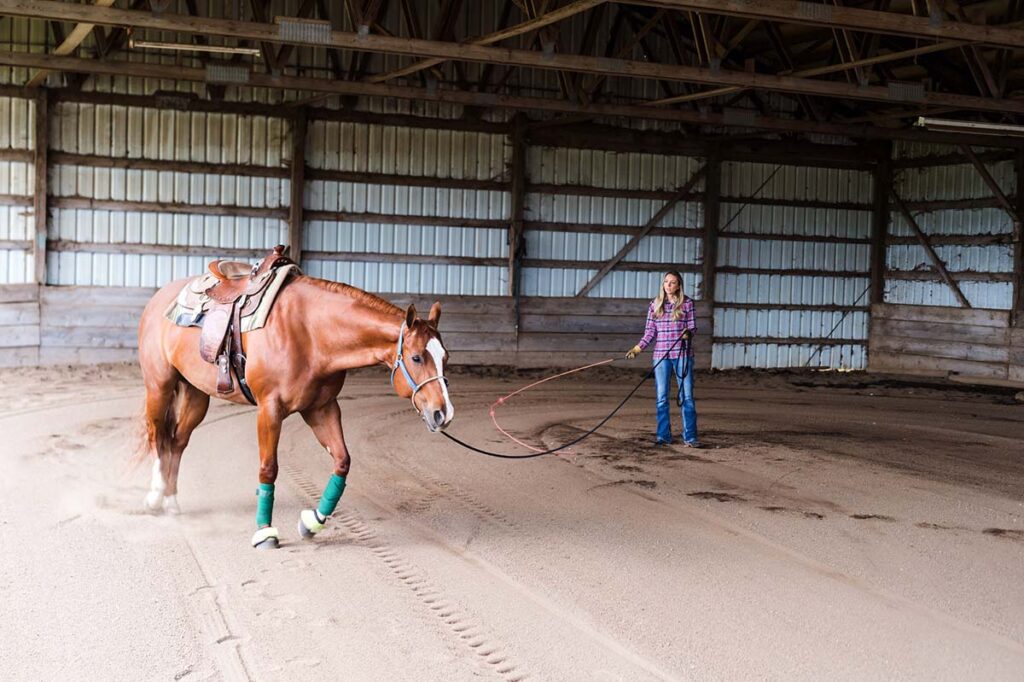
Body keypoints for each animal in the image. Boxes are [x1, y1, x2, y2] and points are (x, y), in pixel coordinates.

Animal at [135, 262, 452, 544]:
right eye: (416, 357)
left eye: (445, 357)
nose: (443, 414)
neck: (310, 332)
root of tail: (159, 299)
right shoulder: (269, 410)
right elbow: (268, 468)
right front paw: (265, 532)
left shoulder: (322, 408)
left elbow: (342, 462)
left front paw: (312, 523)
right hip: (159, 386)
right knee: (158, 437)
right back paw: (154, 497)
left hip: (195, 393)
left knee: (177, 441)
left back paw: (171, 501)